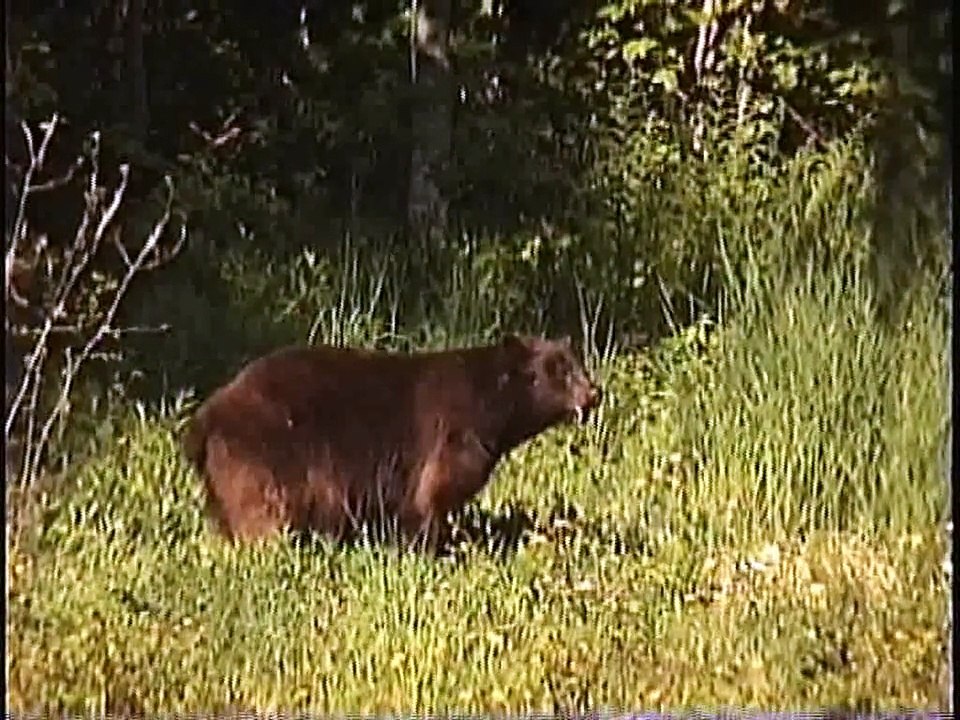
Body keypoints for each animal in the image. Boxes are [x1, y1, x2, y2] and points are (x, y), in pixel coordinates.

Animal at [182, 334, 601, 550]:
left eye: (578, 363)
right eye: (560, 371)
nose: (594, 393)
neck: (493, 407)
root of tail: (206, 418)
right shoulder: (452, 433)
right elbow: (433, 495)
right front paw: (434, 549)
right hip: (268, 456)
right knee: (266, 511)